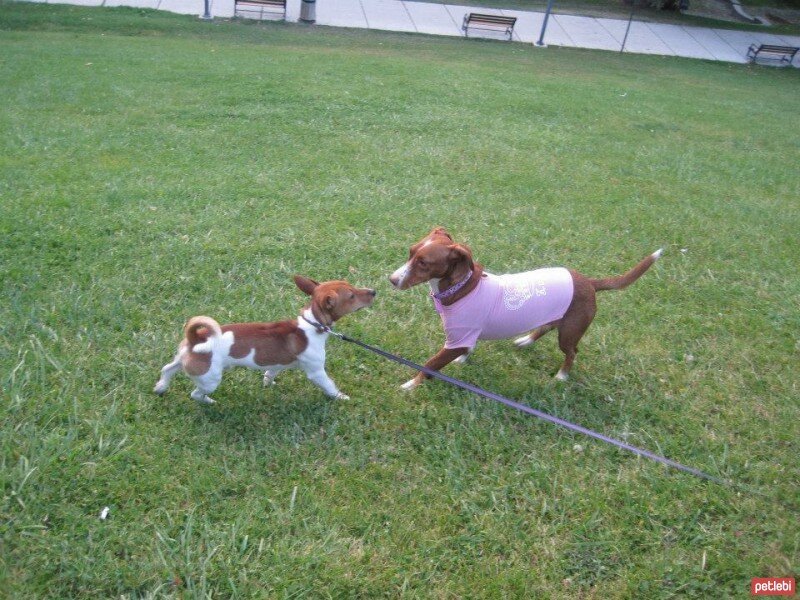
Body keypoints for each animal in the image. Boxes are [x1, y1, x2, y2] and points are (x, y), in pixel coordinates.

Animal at [155, 276, 376, 404]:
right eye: (352, 296)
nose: (373, 291)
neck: (313, 323)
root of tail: (196, 338)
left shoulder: (277, 363)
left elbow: (270, 372)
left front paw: (268, 383)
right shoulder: (316, 372)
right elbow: (329, 385)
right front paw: (341, 397)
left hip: (184, 360)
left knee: (168, 369)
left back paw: (161, 387)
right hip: (210, 378)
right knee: (196, 394)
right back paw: (208, 402)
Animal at [390, 227, 664, 392]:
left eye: (424, 263)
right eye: (410, 252)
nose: (392, 280)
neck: (462, 287)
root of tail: (589, 282)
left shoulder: (457, 338)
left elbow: (430, 364)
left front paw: (410, 385)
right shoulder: (467, 335)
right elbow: (466, 350)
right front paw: (463, 360)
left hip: (570, 331)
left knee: (572, 352)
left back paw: (562, 375)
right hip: (557, 318)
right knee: (545, 327)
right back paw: (526, 341)